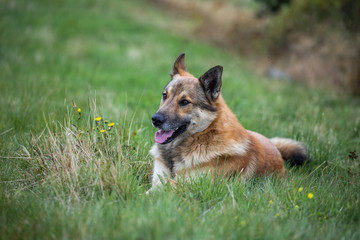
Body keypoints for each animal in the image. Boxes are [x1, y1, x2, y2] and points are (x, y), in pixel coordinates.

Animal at [148, 53, 306, 190]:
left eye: (185, 102)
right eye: (165, 95)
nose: (155, 119)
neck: (203, 135)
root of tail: (275, 147)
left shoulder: (193, 185)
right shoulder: (159, 175)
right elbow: (156, 185)